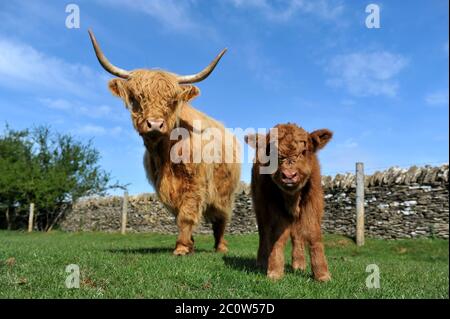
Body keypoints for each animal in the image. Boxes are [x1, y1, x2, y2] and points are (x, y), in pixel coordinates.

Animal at [89, 29, 241, 255]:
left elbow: (186, 215)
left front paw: (181, 248)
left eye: (173, 101)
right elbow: (179, 216)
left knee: (221, 219)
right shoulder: (165, 188)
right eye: (135, 98)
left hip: (225, 192)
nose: (154, 124)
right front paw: (189, 244)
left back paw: (221, 247)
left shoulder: (194, 184)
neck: (166, 154)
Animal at [244, 124, 332, 282]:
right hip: (260, 207)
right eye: (273, 154)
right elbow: (276, 235)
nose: (289, 175)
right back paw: (262, 262)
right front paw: (274, 271)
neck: (292, 197)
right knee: (263, 233)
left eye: (303, 151)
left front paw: (322, 274)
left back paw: (299, 264)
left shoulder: (313, 202)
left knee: (297, 235)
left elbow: (313, 234)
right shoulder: (272, 206)